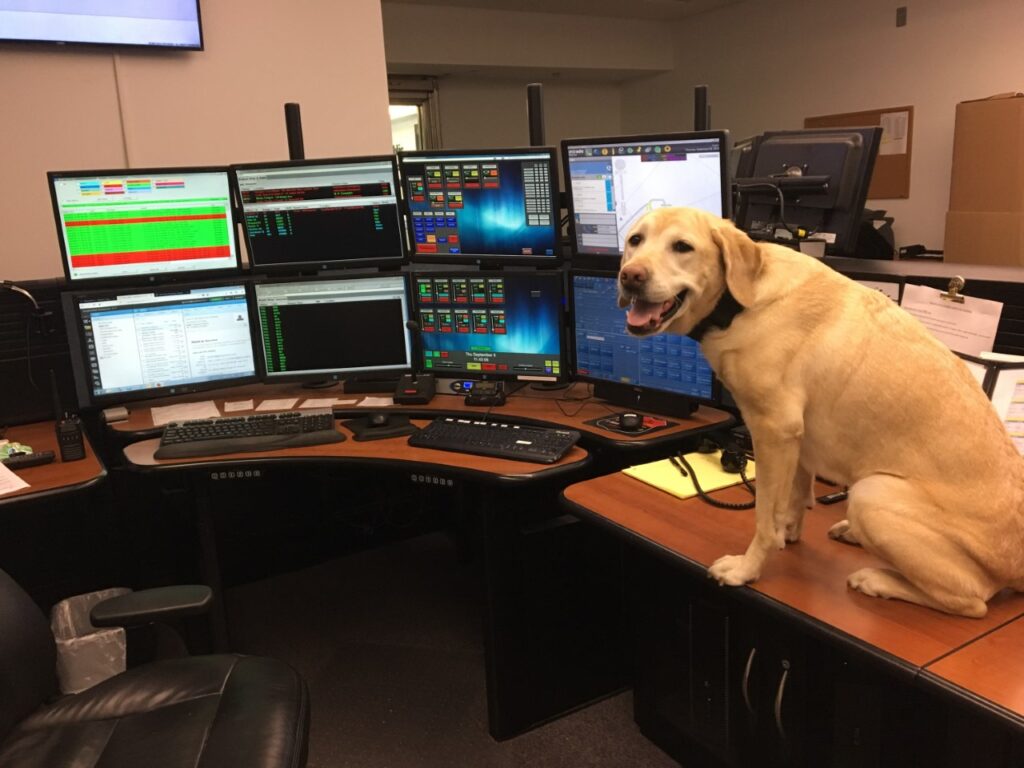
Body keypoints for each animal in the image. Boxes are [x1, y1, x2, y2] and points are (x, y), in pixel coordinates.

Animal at [617, 206, 1024, 617]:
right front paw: (790, 532)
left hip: (871, 492)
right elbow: (796, 496)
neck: (739, 303)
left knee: (972, 600)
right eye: (635, 240)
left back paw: (877, 580)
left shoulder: (773, 431)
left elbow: (764, 516)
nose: (630, 276)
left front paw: (748, 568)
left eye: (682, 247)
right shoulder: (796, 440)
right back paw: (852, 534)